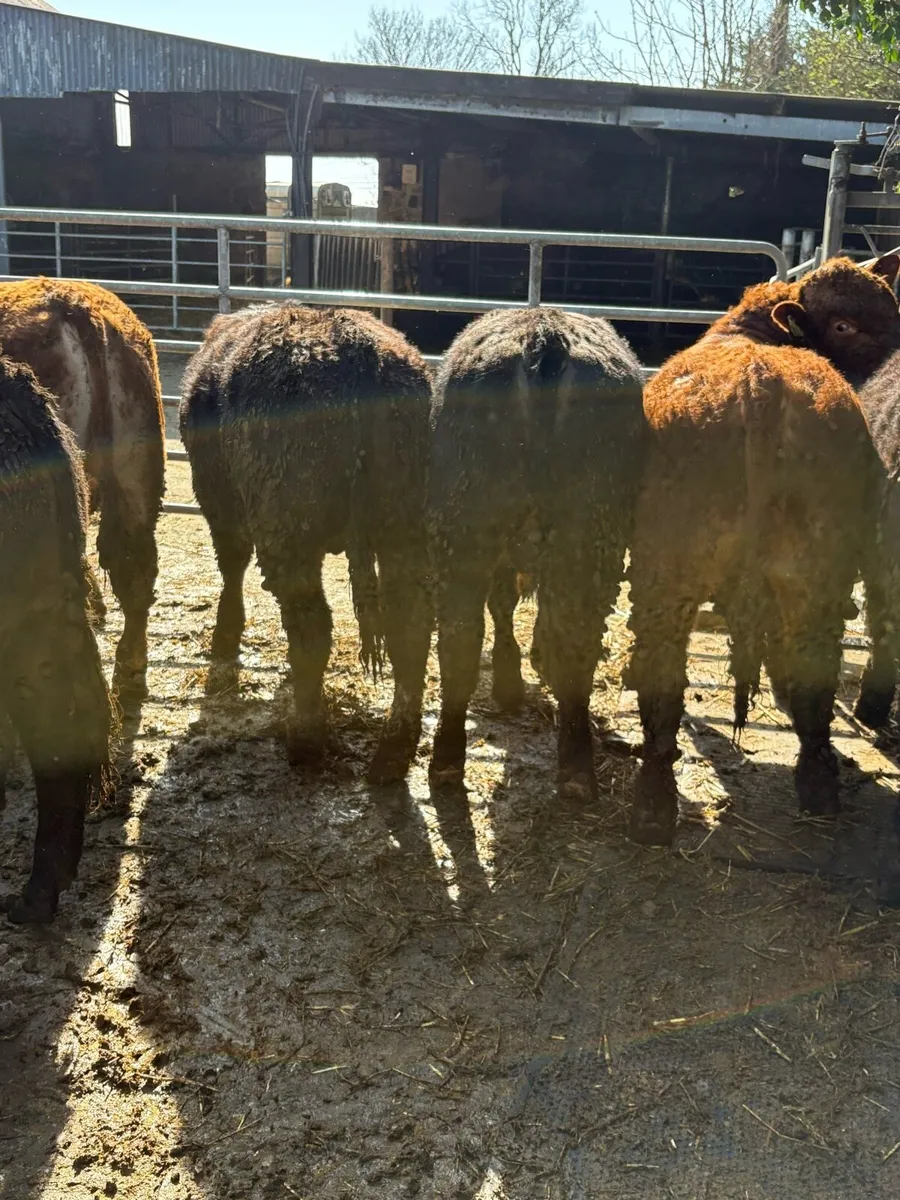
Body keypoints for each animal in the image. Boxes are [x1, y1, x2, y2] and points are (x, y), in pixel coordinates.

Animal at [179, 304, 432, 783]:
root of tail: (357, 351)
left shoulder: (220, 504)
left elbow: (232, 566)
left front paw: (225, 636)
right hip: (402, 528)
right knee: (409, 625)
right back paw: (393, 753)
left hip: (288, 533)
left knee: (311, 624)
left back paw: (306, 740)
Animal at [428, 307, 646, 799]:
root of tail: (543, 336)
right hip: (580, 531)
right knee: (572, 641)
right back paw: (575, 763)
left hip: (470, 526)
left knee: (461, 636)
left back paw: (448, 759)